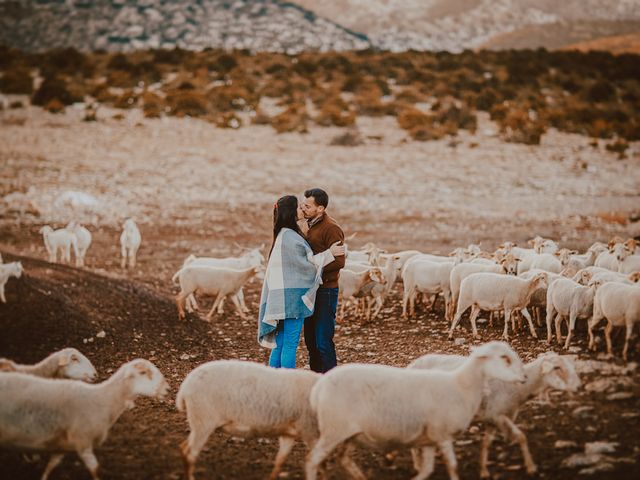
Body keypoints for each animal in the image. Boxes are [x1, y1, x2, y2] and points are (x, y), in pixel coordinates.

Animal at [0, 360, 168, 480]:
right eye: (143, 372)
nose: (167, 389)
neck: (102, 400)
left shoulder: (63, 446)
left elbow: (51, 466)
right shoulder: (83, 442)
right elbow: (96, 471)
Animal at [176, 360, 320, 480]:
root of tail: (185, 386)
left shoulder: (289, 432)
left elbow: (281, 459)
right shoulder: (309, 431)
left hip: (198, 422)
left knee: (184, 448)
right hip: (203, 420)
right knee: (191, 454)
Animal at [304, 342, 524, 480]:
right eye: (504, 357)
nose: (524, 378)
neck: (461, 384)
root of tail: (318, 387)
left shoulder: (430, 439)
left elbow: (428, 469)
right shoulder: (442, 434)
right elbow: (451, 466)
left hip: (349, 433)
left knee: (343, 459)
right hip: (334, 430)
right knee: (312, 460)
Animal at [410, 350, 580, 478]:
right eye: (556, 367)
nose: (577, 386)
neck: (518, 388)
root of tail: (413, 364)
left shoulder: (493, 417)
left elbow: (487, 443)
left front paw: (484, 470)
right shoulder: (497, 415)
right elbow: (520, 436)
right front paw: (531, 467)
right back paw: (418, 464)